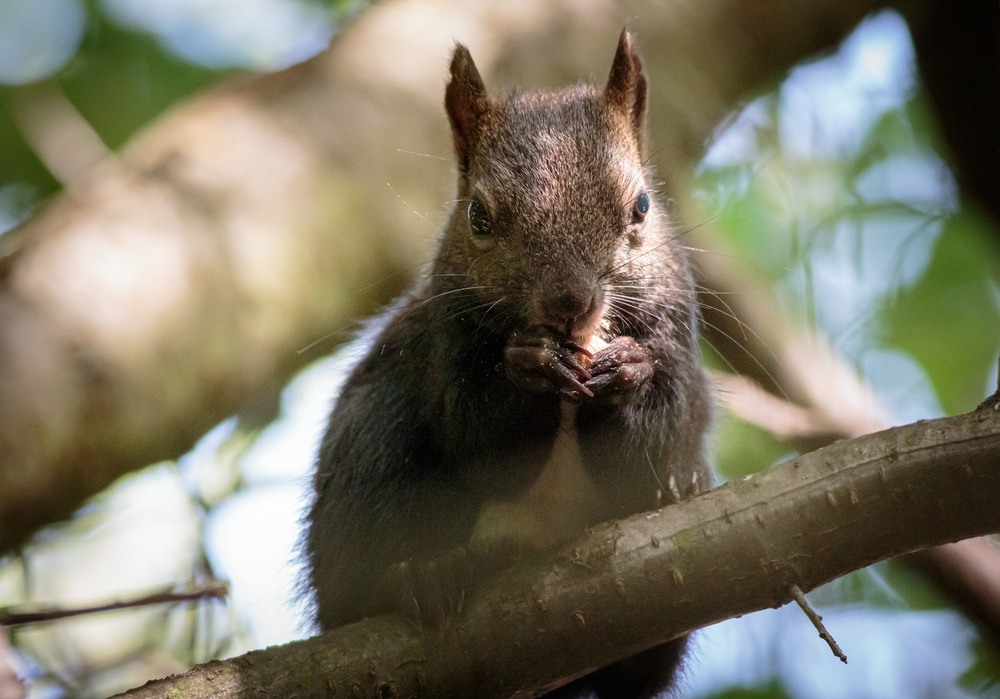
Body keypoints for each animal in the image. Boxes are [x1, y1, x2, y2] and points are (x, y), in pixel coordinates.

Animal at [302, 31, 712, 699]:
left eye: (643, 206)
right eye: (478, 216)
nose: (570, 304)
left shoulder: (677, 340)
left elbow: (654, 434)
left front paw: (629, 373)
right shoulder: (444, 350)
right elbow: (479, 437)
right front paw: (528, 369)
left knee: (641, 676)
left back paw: (684, 490)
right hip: (368, 449)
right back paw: (425, 573)